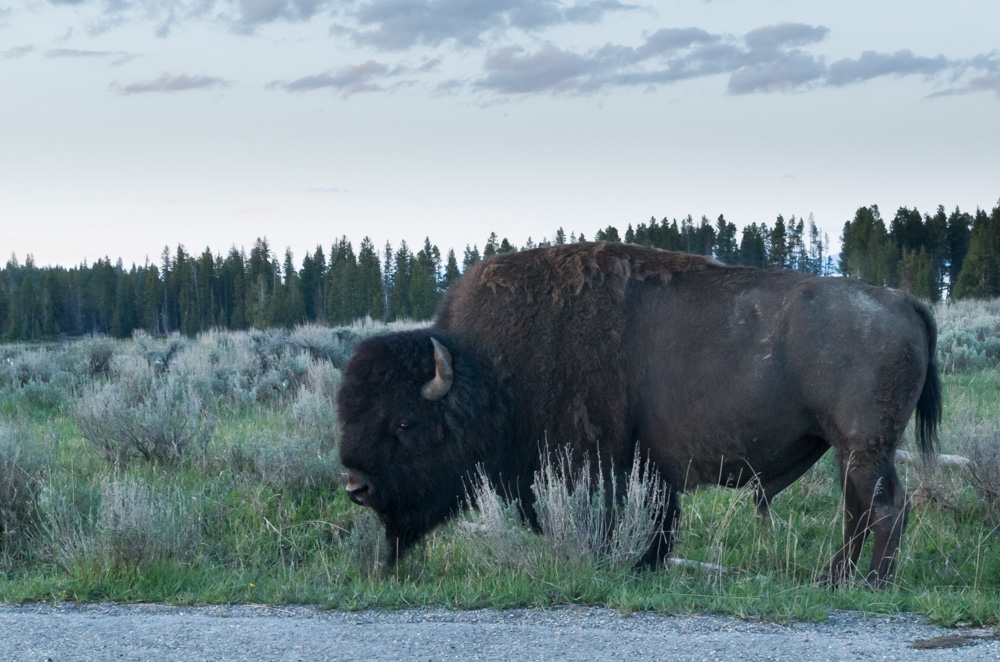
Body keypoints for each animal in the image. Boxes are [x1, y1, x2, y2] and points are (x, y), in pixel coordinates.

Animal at [340, 241, 940, 588]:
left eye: (404, 423)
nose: (355, 485)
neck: (488, 372)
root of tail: (904, 301)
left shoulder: (599, 463)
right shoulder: (647, 466)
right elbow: (659, 521)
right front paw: (646, 565)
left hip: (864, 447)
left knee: (885, 506)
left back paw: (871, 585)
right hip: (849, 450)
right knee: (859, 509)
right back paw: (832, 579)